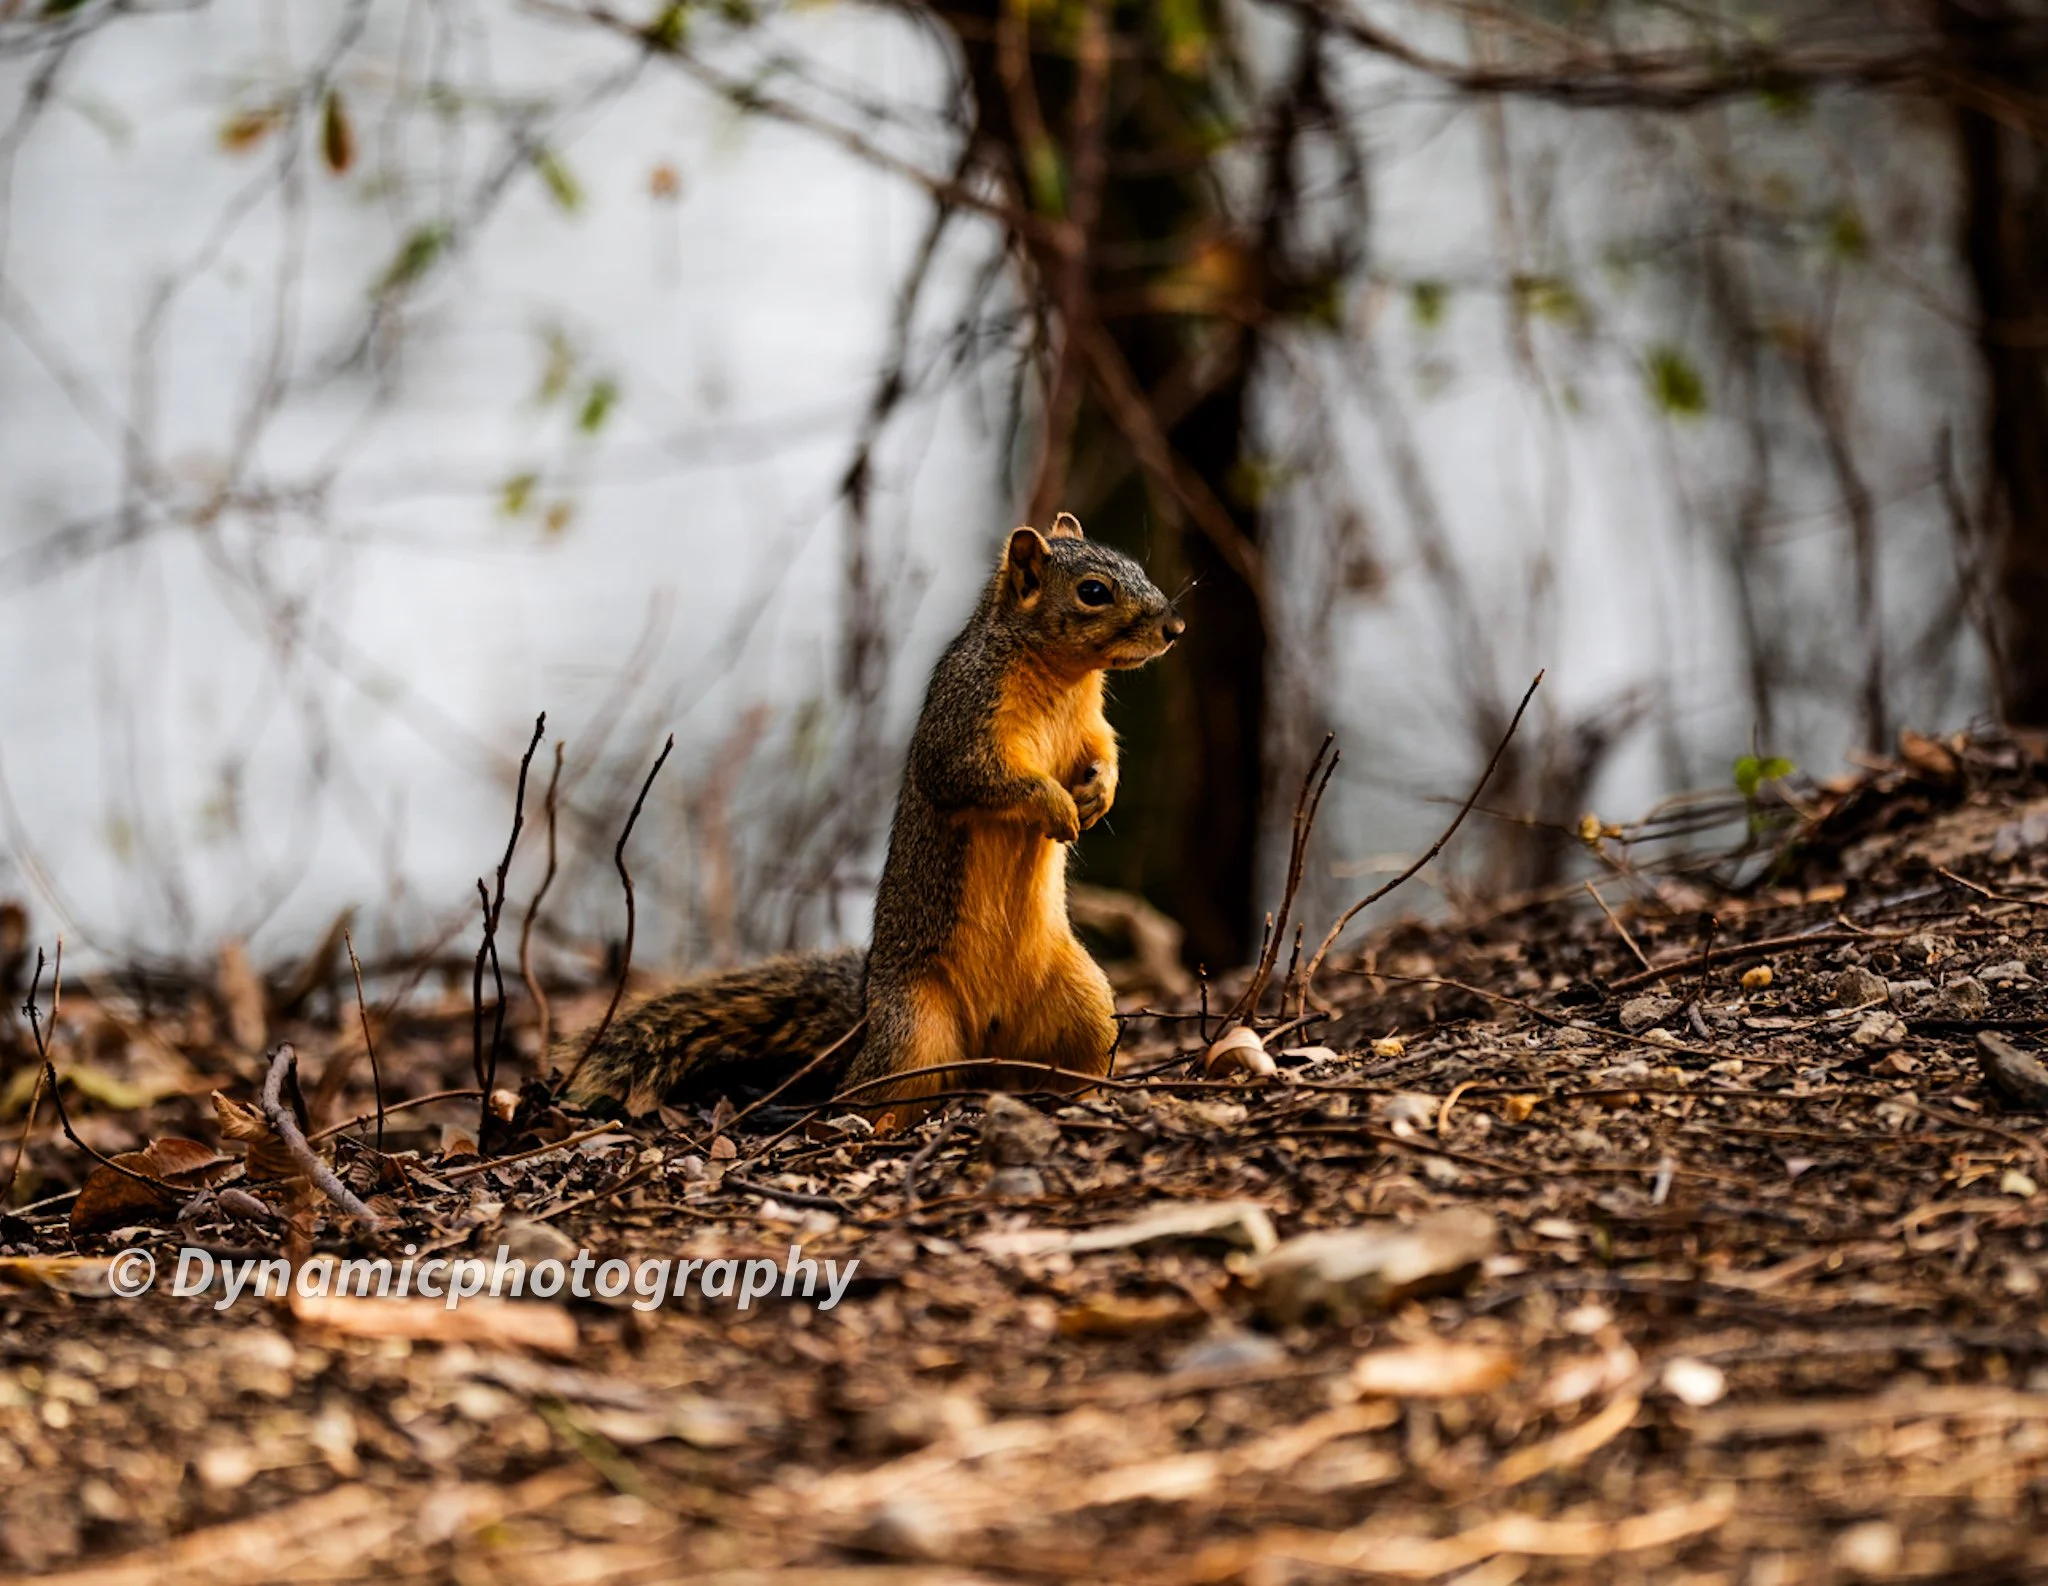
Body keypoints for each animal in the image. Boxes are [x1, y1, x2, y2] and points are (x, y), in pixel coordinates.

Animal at [565, 512, 1184, 1116]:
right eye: (1093, 591)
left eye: (1135, 566)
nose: (1174, 629)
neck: (1062, 677)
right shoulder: (962, 724)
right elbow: (978, 777)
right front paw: (1055, 804)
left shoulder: (1090, 726)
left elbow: (1103, 754)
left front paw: (1099, 794)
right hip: (912, 1028)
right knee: (867, 1090)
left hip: (1088, 1007)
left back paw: (1083, 1096)